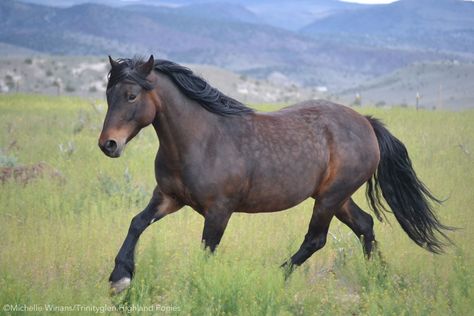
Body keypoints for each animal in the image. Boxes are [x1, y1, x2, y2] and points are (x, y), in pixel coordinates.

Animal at [98, 55, 450, 294]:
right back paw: (380, 279)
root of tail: (366, 122)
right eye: (108, 94)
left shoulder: (219, 211)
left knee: (316, 239)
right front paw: (120, 278)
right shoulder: (169, 198)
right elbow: (137, 223)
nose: (108, 144)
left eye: (131, 95)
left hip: (330, 198)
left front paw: (196, 285)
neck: (202, 140)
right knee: (365, 225)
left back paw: (275, 276)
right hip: (337, 198)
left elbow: (207, 250)